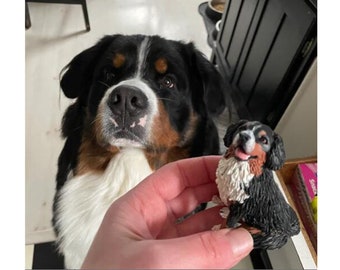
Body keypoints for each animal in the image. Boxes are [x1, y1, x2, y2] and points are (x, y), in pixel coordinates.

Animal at [215, 119, 300, 249]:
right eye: (242, 128)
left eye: (264, 140)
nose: (244, 136)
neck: (239, 165)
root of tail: (289, 229)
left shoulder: (242, 206)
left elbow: (228, 224)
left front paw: (219, 230)